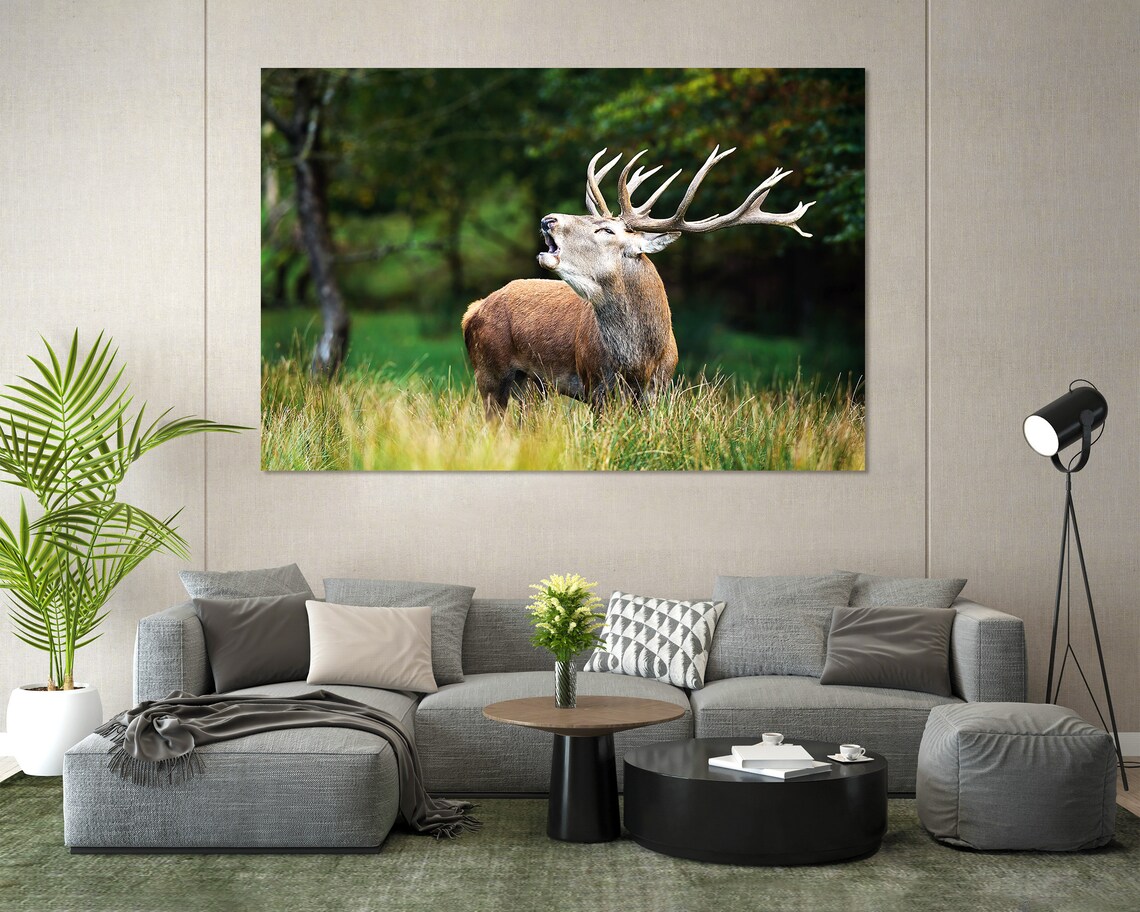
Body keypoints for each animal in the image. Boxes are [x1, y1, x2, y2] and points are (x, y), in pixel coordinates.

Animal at [461, 145, 814, 418]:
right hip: (489, 371)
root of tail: (473, 310)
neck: (639, 360)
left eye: (605, 229)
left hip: (531, 385)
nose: (548, 219)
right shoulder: (595, 384)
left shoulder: (658, 389)